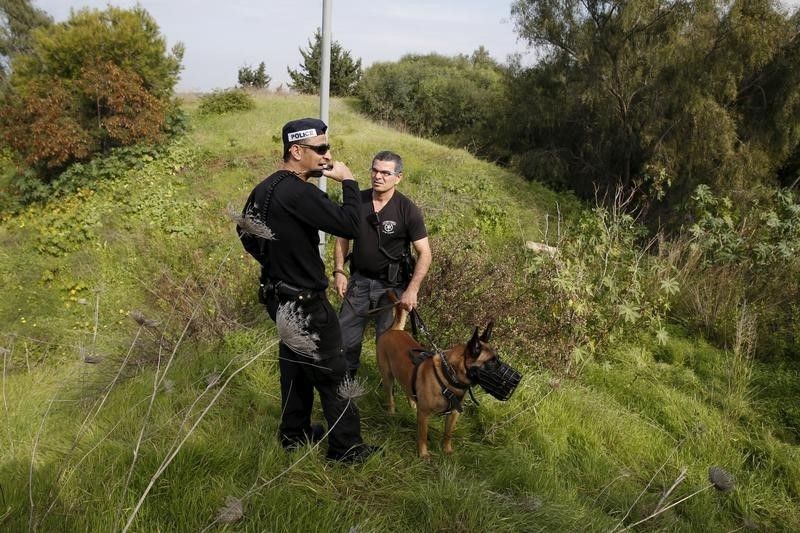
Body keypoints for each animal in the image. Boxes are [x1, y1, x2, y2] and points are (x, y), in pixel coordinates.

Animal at [376, 296, 500, 458]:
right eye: (491, 362)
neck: (449, 377)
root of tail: (395, 329)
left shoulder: (453, 414)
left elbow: (448, 434)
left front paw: (447, 451)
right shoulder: (424, 414)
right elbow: (423, 435)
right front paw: (423, 454)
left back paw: (412, 404)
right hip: (387, 377)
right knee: (390, 397)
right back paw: (391, 413)